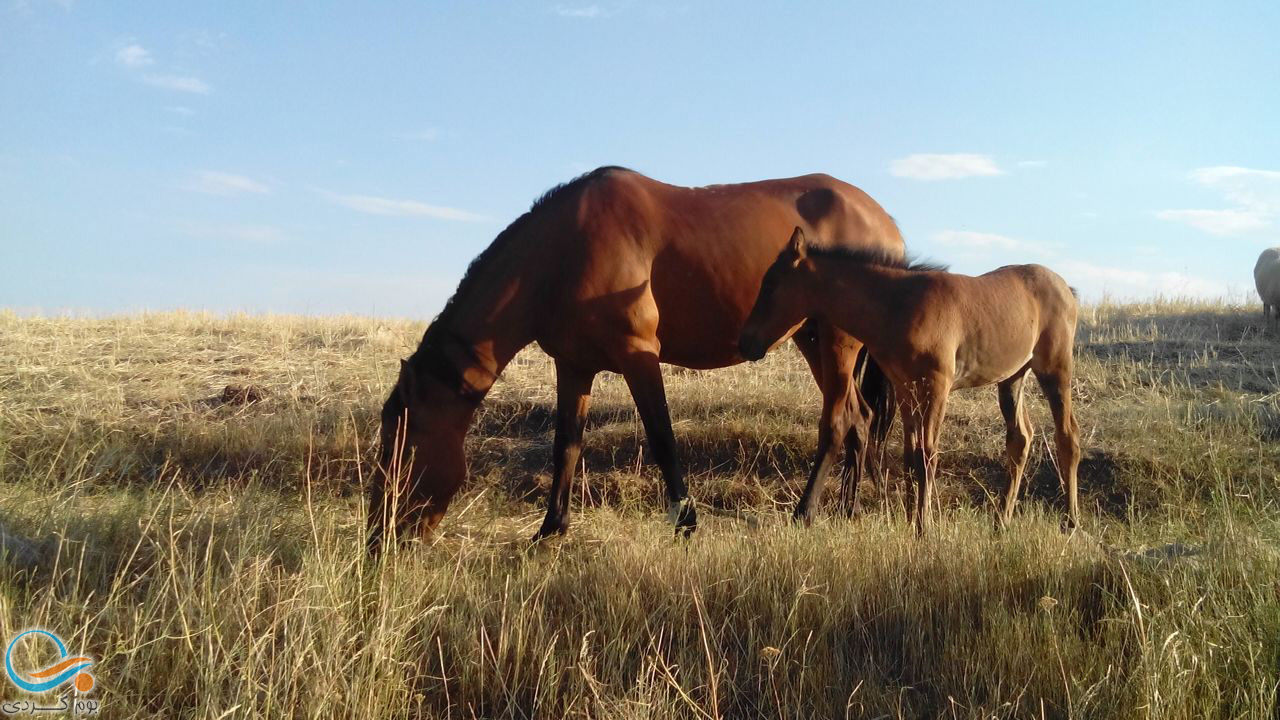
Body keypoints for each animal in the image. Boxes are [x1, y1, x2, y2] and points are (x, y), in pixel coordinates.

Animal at [368, 167, 911, 548]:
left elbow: (663, 439)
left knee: (837, 421)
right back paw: (846, 510)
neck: (563, 252)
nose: (379, 539)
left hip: (838, 339)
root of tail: (886, 222)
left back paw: (805, 513)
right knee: (860, 417)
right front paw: (550, 530)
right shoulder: (574, 365)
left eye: (401, 446)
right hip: (812, 337)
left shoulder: (639, 356)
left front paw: (686, 523)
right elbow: (566, 445)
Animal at [737, 228, 1085, 532]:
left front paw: (924, 527)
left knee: (1067, 436)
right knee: (1020, 438)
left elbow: (926, 455)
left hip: (1054, 368)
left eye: (771, 285)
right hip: (1012, 377)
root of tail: (1066, 288)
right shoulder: (905, 387)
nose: (745, 343)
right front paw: (909, 522)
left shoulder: (937, 385)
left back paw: (1071, 522)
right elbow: (909, 456)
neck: (899, 305)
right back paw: (1001, 522)